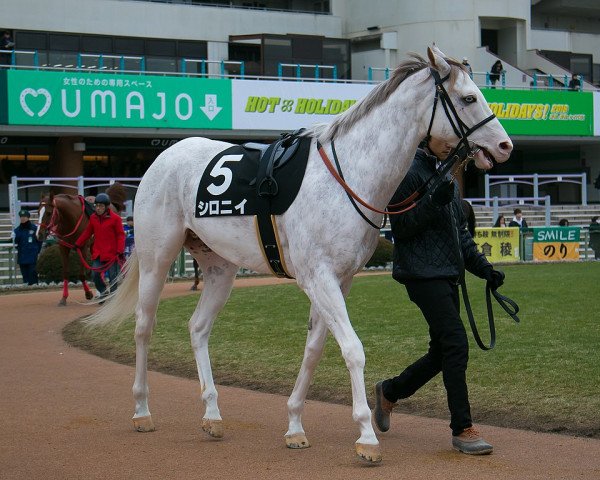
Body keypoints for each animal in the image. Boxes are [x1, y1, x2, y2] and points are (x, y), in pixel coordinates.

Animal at [86, 47, 512, 464]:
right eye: (468, 98)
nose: (505, 146)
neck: (347, 176)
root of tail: (165, 156)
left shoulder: (340, 279)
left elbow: (315, 349)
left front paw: (294, 426)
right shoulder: (317, 276)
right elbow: (352, 349)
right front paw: (366, 436)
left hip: (220, 267)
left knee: (198, 327)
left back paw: (212, 414)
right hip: (157, 257)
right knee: (144, 326)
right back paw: (142, 411)